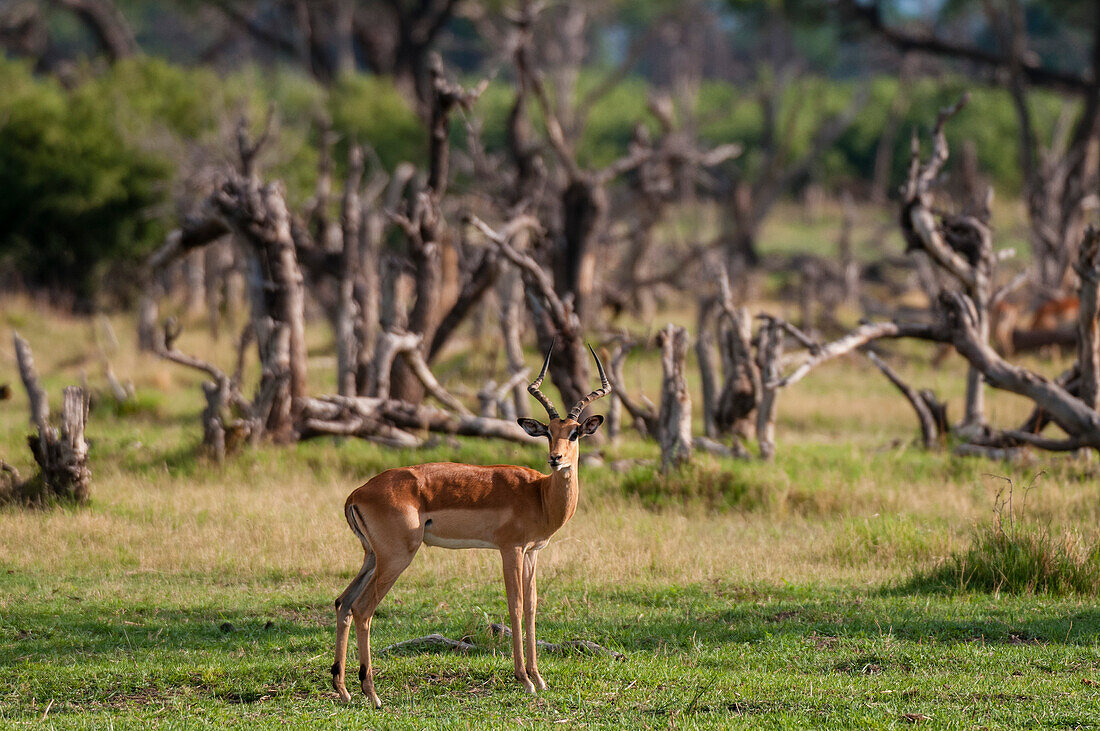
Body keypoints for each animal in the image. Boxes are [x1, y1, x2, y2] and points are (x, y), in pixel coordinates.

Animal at [330, 345, 616, 703]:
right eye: (549, 431)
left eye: (574, 432)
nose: (556, 459)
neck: (538, 494)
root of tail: (358, 492)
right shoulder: (510, 549)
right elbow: (515, 606)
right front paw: (524, 679)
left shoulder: (533, 552)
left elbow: (533, 607)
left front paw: (539, 678)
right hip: (396, 558)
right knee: (363, 609)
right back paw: (371, 692)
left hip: (372, 556)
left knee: (344, 602)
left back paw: (342, 689)